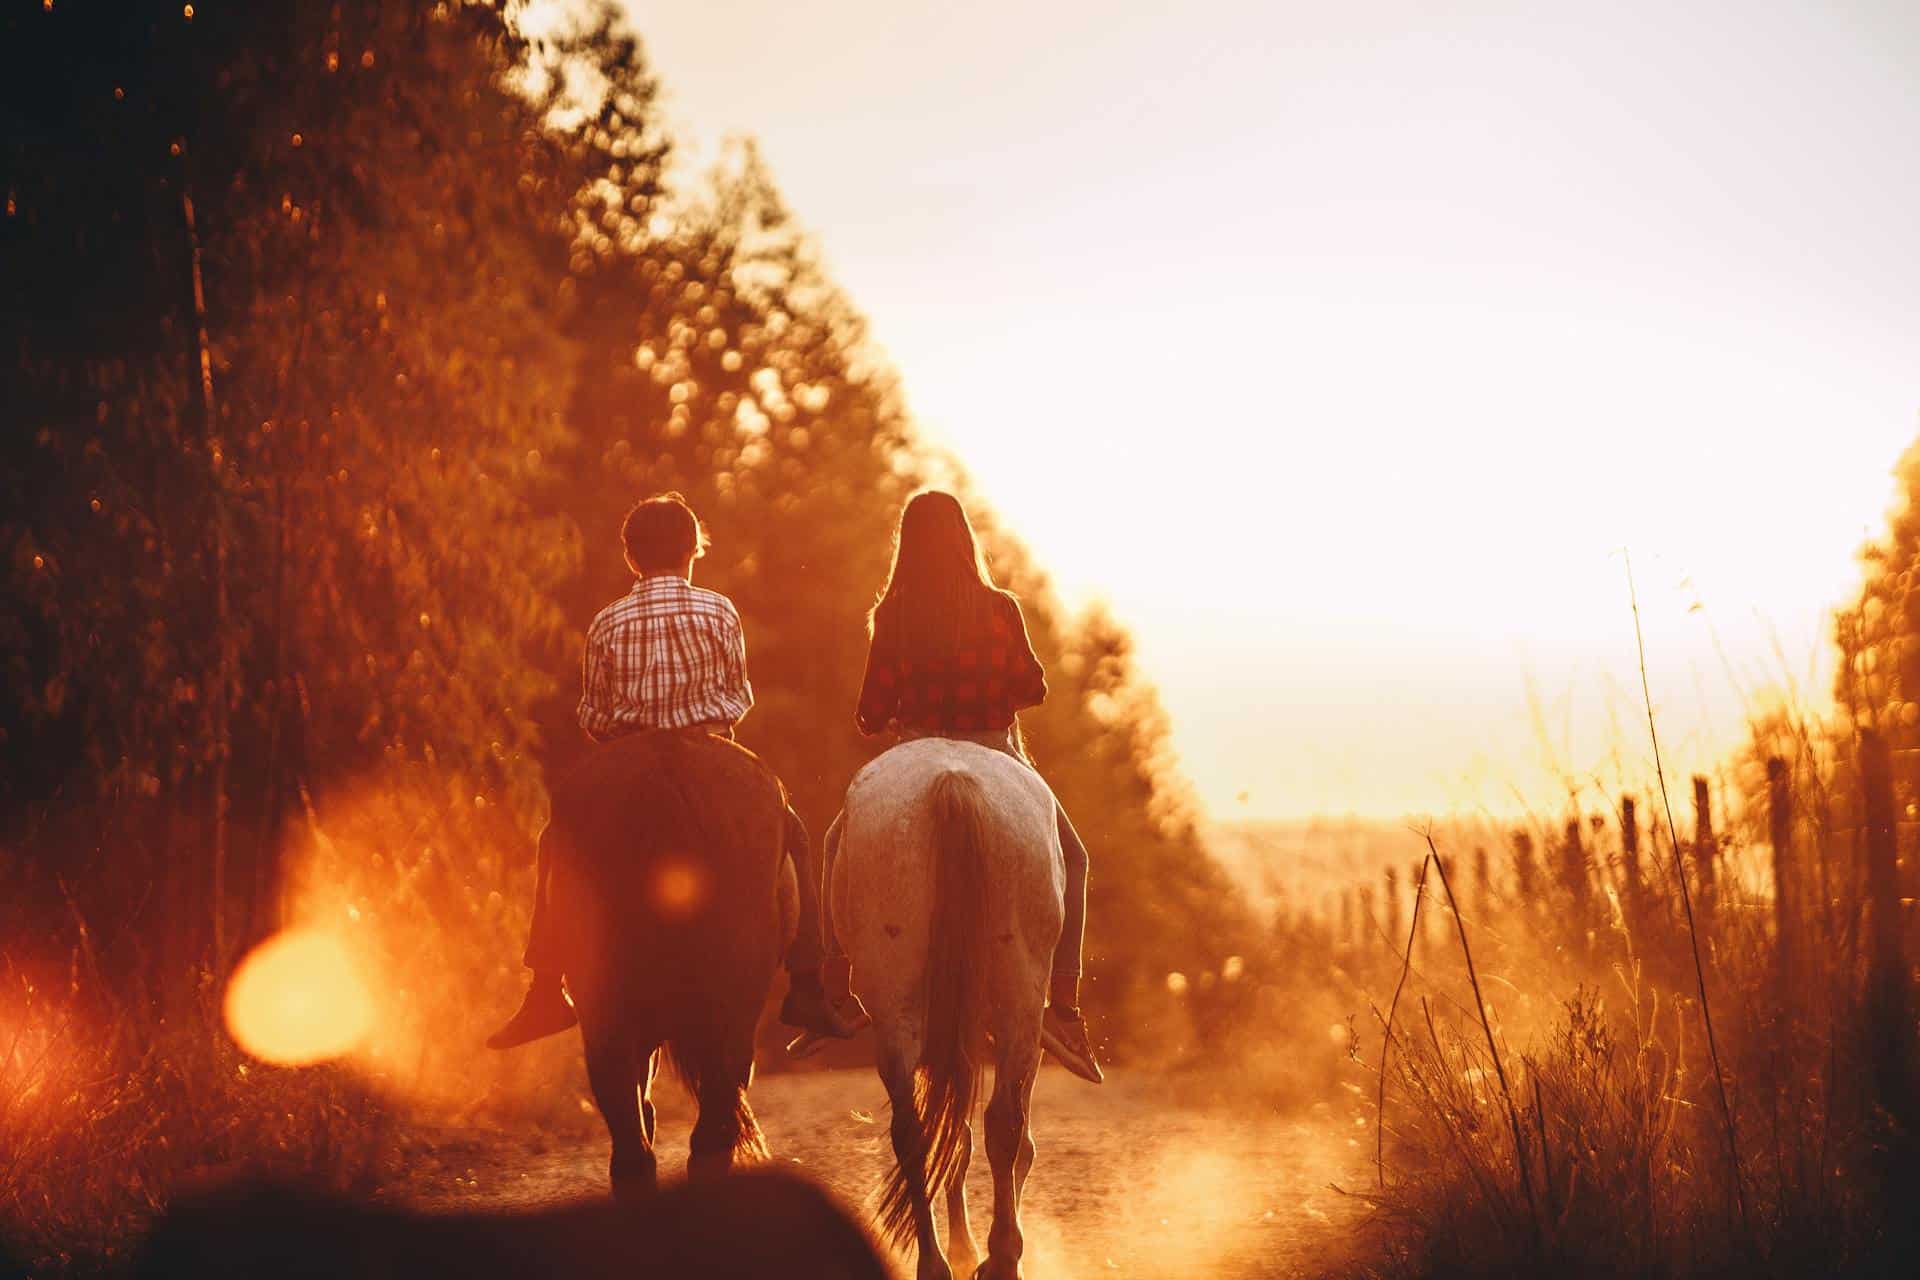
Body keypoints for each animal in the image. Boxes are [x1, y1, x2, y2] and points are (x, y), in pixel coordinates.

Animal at [829, 736, 1067, 1280]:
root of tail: (951, 781)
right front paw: (971, 1248)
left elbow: (953, 1131)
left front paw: (963, 1247)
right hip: (1019, 1000)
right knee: (1000, 1124)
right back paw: (995, 1256)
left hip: (902, 1009)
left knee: (917, 1131)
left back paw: (939, 1260)